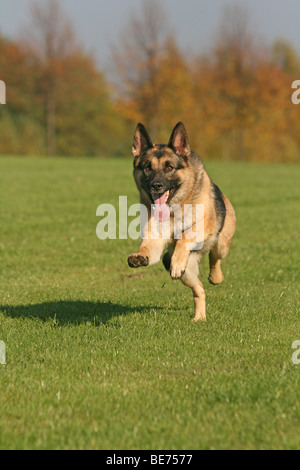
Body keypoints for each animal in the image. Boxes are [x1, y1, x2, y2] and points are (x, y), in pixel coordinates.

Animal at [127, 121, 236, 322]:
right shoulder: (154, 239)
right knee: (199, 290)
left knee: (214, 258)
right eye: (147, 168)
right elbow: (147, 248)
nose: (156, 185)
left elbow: (184, 236)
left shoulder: (203, 227)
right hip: (186, 272)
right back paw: (199, 317)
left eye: (169, 168)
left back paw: (215, 277)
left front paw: (178, 261)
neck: (173, 210)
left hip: (221, 244)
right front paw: (139, 256)